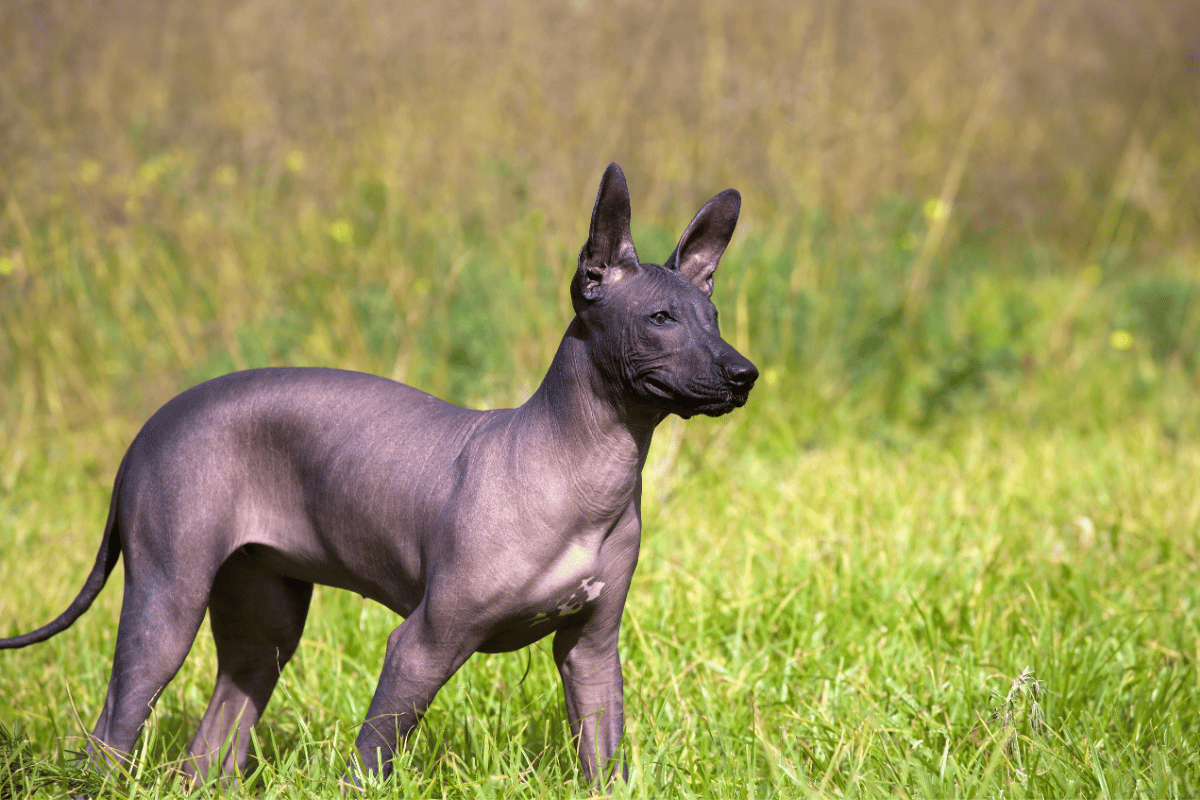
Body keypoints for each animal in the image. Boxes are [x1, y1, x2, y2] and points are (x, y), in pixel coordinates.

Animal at [0, 164, 753, 786]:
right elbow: (370, 762)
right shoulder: (421, 645)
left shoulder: (592, 651)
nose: (744, 373)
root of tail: (151, 426)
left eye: (712, 317)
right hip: (166, 602)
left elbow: (606, 760)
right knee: (109, 735)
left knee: (211, 744)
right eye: (660, 319)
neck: (580, 469)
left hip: (263, 627)